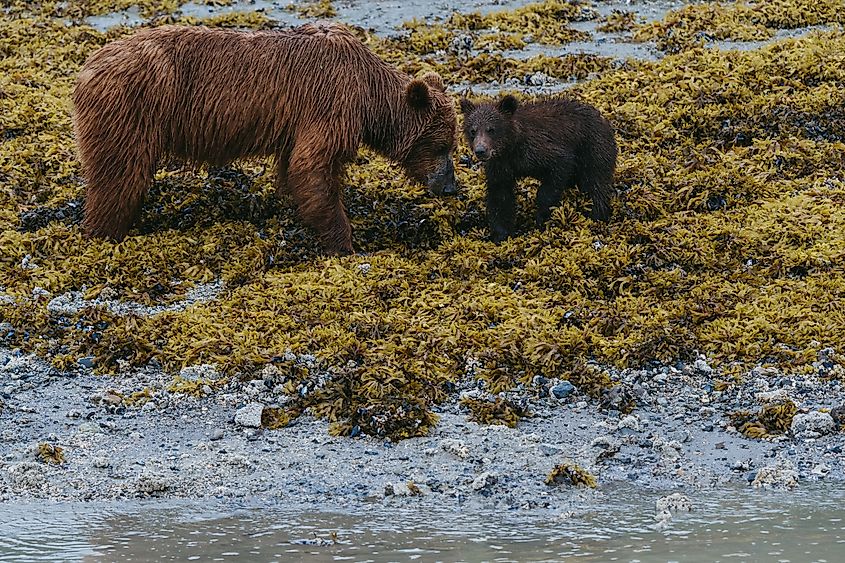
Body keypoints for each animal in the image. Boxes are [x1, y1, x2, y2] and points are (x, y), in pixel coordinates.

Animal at [71, 22, 454, 254]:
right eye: (442, 146)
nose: (450, 186)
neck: (370, 94)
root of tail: (86, 67)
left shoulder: (300, 120)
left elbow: (293, 167)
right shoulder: (333, 101)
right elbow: (313, 167)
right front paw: (344, 242)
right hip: (130, 111)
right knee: (120, 176)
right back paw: (103, 232)